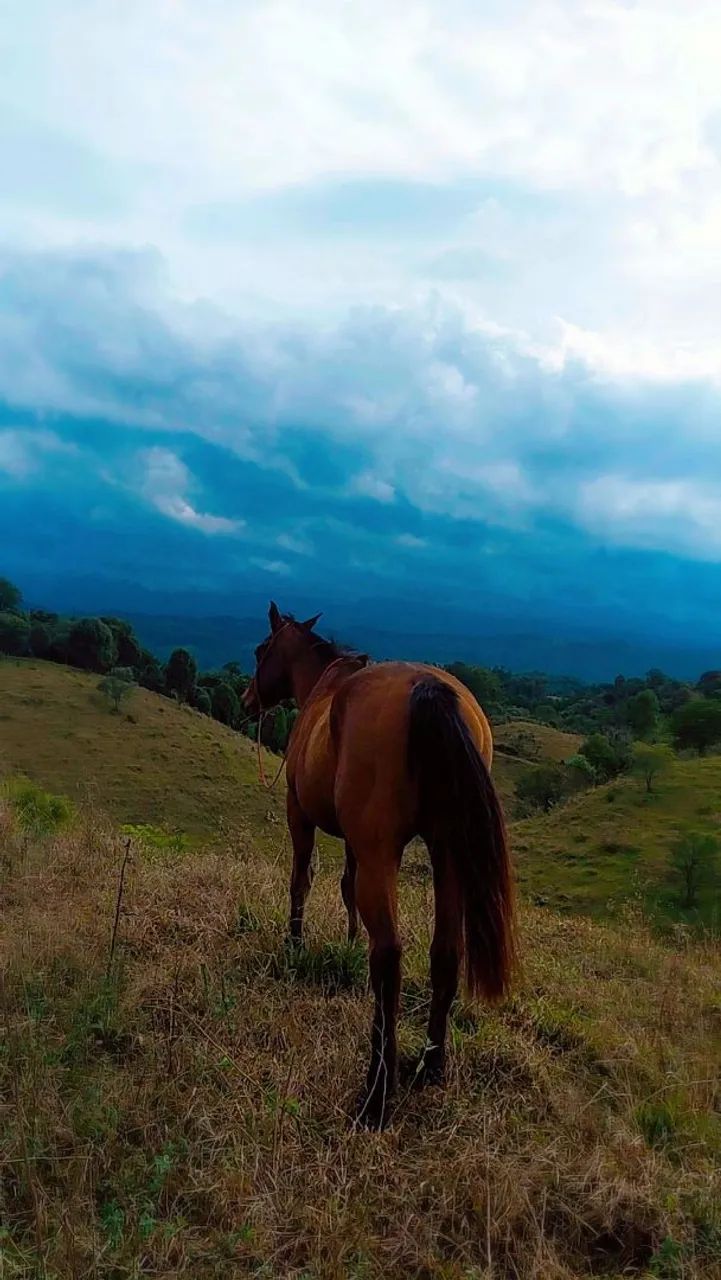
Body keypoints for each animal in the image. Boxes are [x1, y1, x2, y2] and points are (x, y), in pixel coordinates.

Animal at [242, 602, 516, 1128]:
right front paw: (347, 940)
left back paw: (377, 1091)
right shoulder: (354, 842)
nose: (246, 700)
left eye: (261, 649)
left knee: (388, 956)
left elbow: (302, 879)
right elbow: (345, 887)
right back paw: (430, 1065)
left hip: (381, 852)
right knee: (445, 951)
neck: (321, 690)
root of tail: (430, 691)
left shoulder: (300, 814)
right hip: (447, 854)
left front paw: (295, 943)